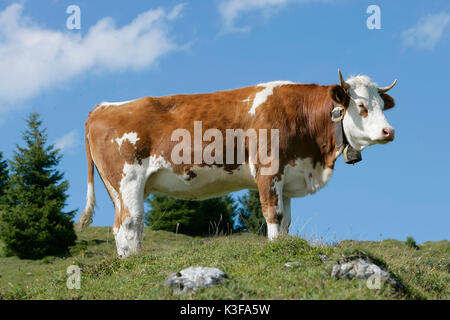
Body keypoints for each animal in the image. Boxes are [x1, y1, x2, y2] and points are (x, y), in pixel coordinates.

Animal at [78, 70, 398, 258]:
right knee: (130, 224)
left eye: (383, 105)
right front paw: (274, 250)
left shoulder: (289, 175)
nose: (389, 131)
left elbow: (287, 220)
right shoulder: (268, 169)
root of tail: (102, 107)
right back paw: (132, 262)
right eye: (361, 106)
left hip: (123, 188)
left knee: (126, 227)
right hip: (127, 180)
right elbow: (273, 214)